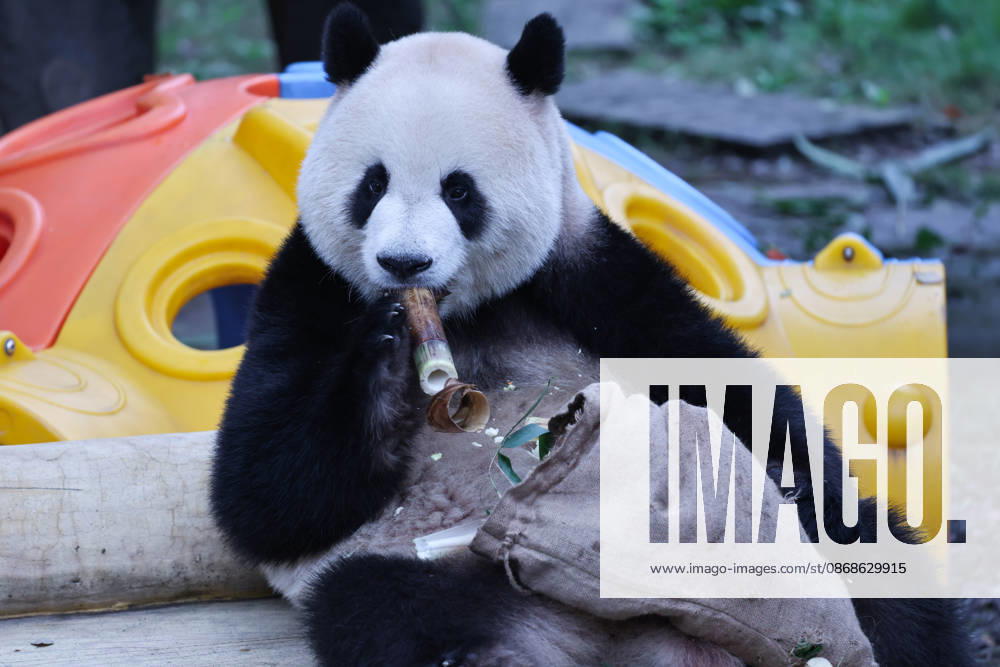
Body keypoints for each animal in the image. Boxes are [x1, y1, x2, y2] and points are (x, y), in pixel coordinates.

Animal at [210, 4, 972, 665]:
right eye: (372, 185)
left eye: (459, 190)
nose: (404, 263)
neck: (465, 312)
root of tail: (616, 636)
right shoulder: (308, 286)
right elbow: (267, 494)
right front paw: (389, 343)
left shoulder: (585, 268)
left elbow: (732, 389)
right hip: (428, 563)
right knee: (381, 607)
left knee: (879, 565)